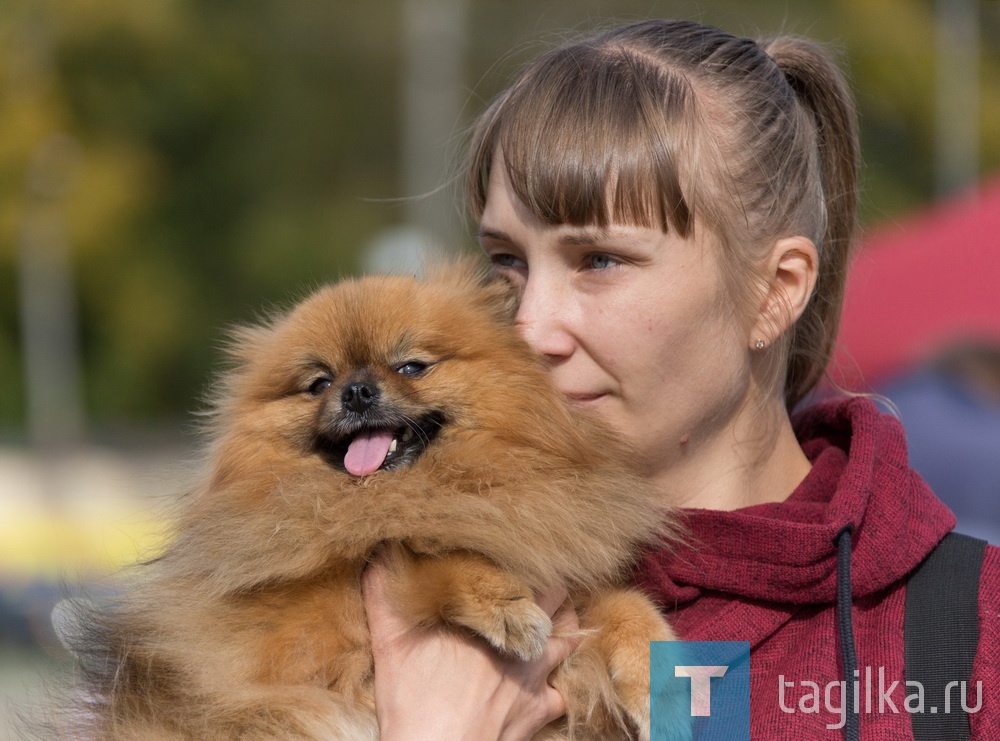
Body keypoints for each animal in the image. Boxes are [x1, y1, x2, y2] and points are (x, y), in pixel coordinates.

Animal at [54, 262, 688, 740]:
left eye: (411, 365)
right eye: (318, 382)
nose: (356, 390)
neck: (394, 495)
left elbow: (628, 607)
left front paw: (662, 683)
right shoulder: (307, 643)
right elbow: (426, 554)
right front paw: (504, 603)